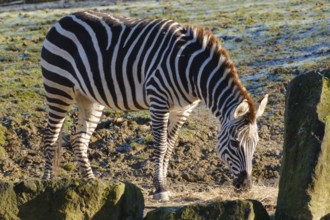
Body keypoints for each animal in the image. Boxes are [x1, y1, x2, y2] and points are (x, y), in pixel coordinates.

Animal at [40, 10, 268, 201]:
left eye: (256, 143)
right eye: (234, 143)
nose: (246, 186)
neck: (190, 70)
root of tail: (63, 19)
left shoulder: (182, 110)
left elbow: (170, 147)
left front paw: (163, 184)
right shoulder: (158, 100)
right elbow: (161, 145)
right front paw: (160, 188)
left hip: (89, 98)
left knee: (79, 139)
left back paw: (92, 183)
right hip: (58, 88)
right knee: (50, 136)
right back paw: (46, 184)